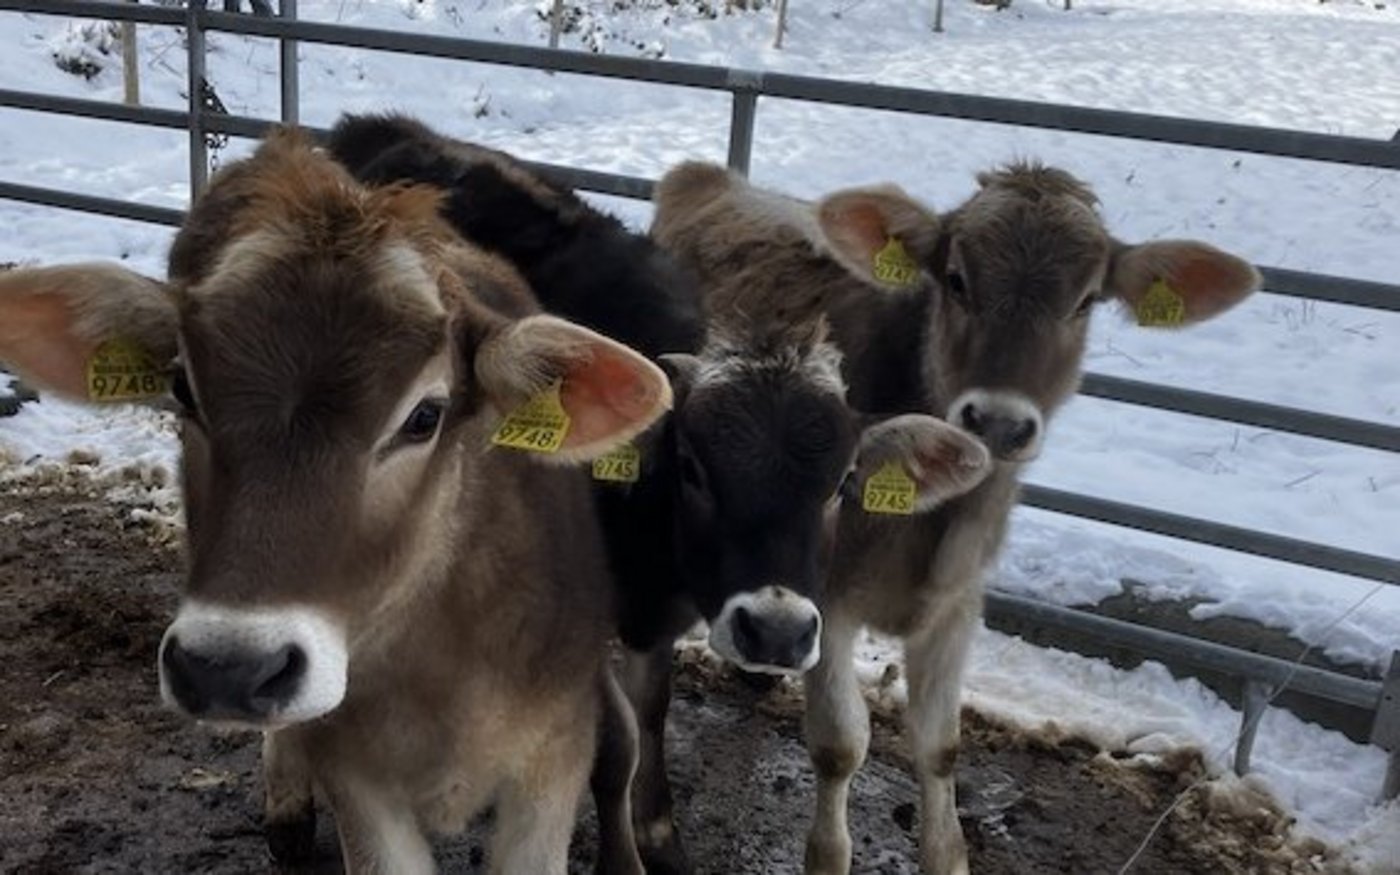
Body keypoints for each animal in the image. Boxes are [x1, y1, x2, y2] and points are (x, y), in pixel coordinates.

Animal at [325, 115, 995, 874]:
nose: (777, 631)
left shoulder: (660, 620)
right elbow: (613, 742)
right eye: (694, 467)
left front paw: (657, 827)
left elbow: (651, 713)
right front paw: (626, 849)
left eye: (842, 483)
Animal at [652, 160, 1261, 874]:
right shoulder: (831, 600)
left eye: (1085, 300)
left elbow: (941, 746)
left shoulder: (958, 607)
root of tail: (710, 176)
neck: (937, 525)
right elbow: (840, 742)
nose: (996, 420)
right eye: (957, 278)